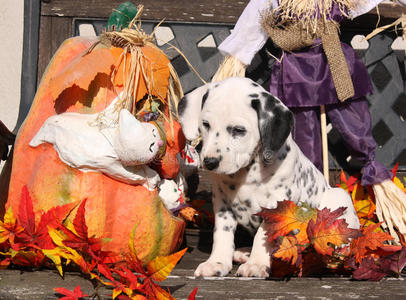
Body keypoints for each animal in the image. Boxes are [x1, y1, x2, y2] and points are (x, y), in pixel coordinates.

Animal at [179, 76, 360, 278]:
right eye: (206, 125)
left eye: (238, 130)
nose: (210, 162)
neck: (247, 173)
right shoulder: (222, 204)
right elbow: (222, 234)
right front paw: (216, 262)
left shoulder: (275, 206)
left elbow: (263, 236)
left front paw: (256, 264)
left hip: (339, 199)